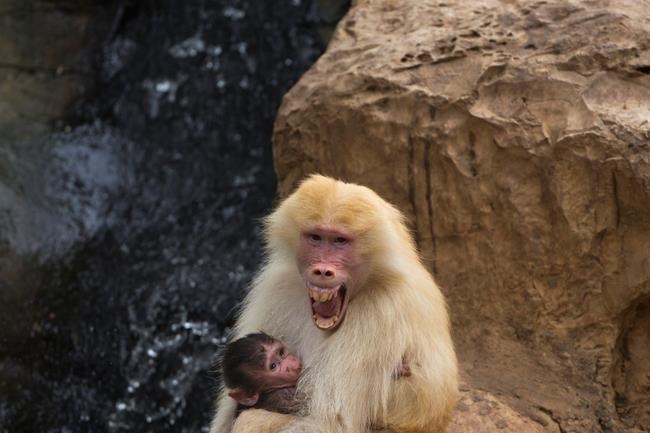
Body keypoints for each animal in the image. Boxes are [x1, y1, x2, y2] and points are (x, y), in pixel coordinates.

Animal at [210, 174, 458, 433]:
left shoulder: (381, 308)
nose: (322, 270)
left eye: (340, 241)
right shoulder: (279, 285)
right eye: (316, 238)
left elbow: (330, 422)